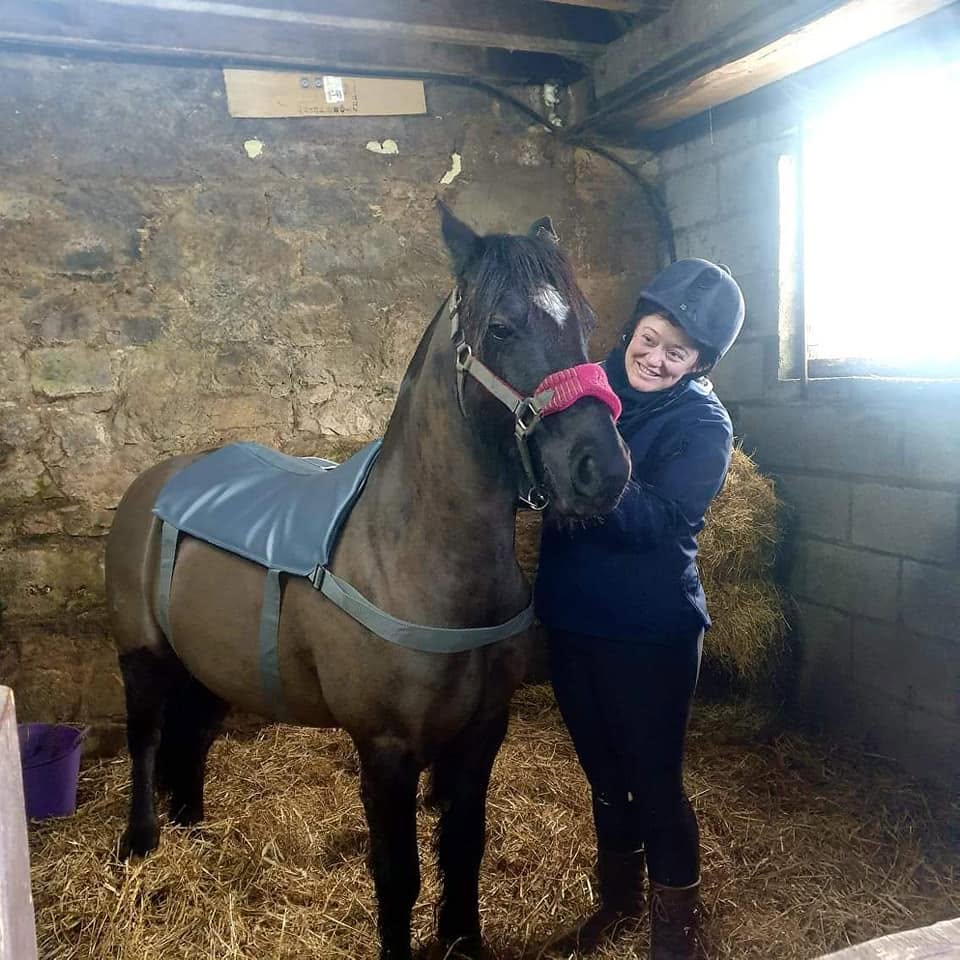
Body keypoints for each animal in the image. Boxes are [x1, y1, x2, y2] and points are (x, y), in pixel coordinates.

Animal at [104, 202, 631, 960]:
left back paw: (193, 830)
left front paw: (463, 942)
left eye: (584, 320)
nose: (601, 469)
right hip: (142, 656)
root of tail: (154, 484)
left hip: (210, 665)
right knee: (146, 739)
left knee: (192, 739)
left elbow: (464, 848)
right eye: (501, 327)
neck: (418, 556)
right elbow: (398, 875)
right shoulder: (386, 748)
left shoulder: (482, 731)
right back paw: (141, 841)